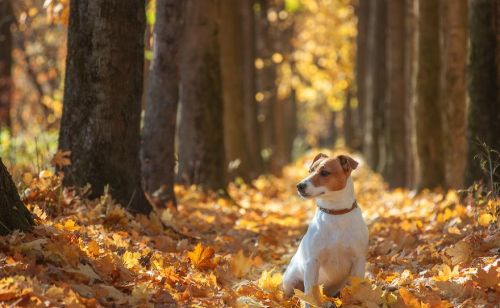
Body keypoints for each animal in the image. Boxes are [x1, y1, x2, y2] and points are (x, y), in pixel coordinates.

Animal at [284, 153, 370, 300]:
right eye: (310, 171)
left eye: (324, 173)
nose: (299, 185)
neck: (335, 213)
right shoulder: (312, 262)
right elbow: (310, 294)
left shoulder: (358, 260)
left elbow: (356, 289)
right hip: (290, 281)